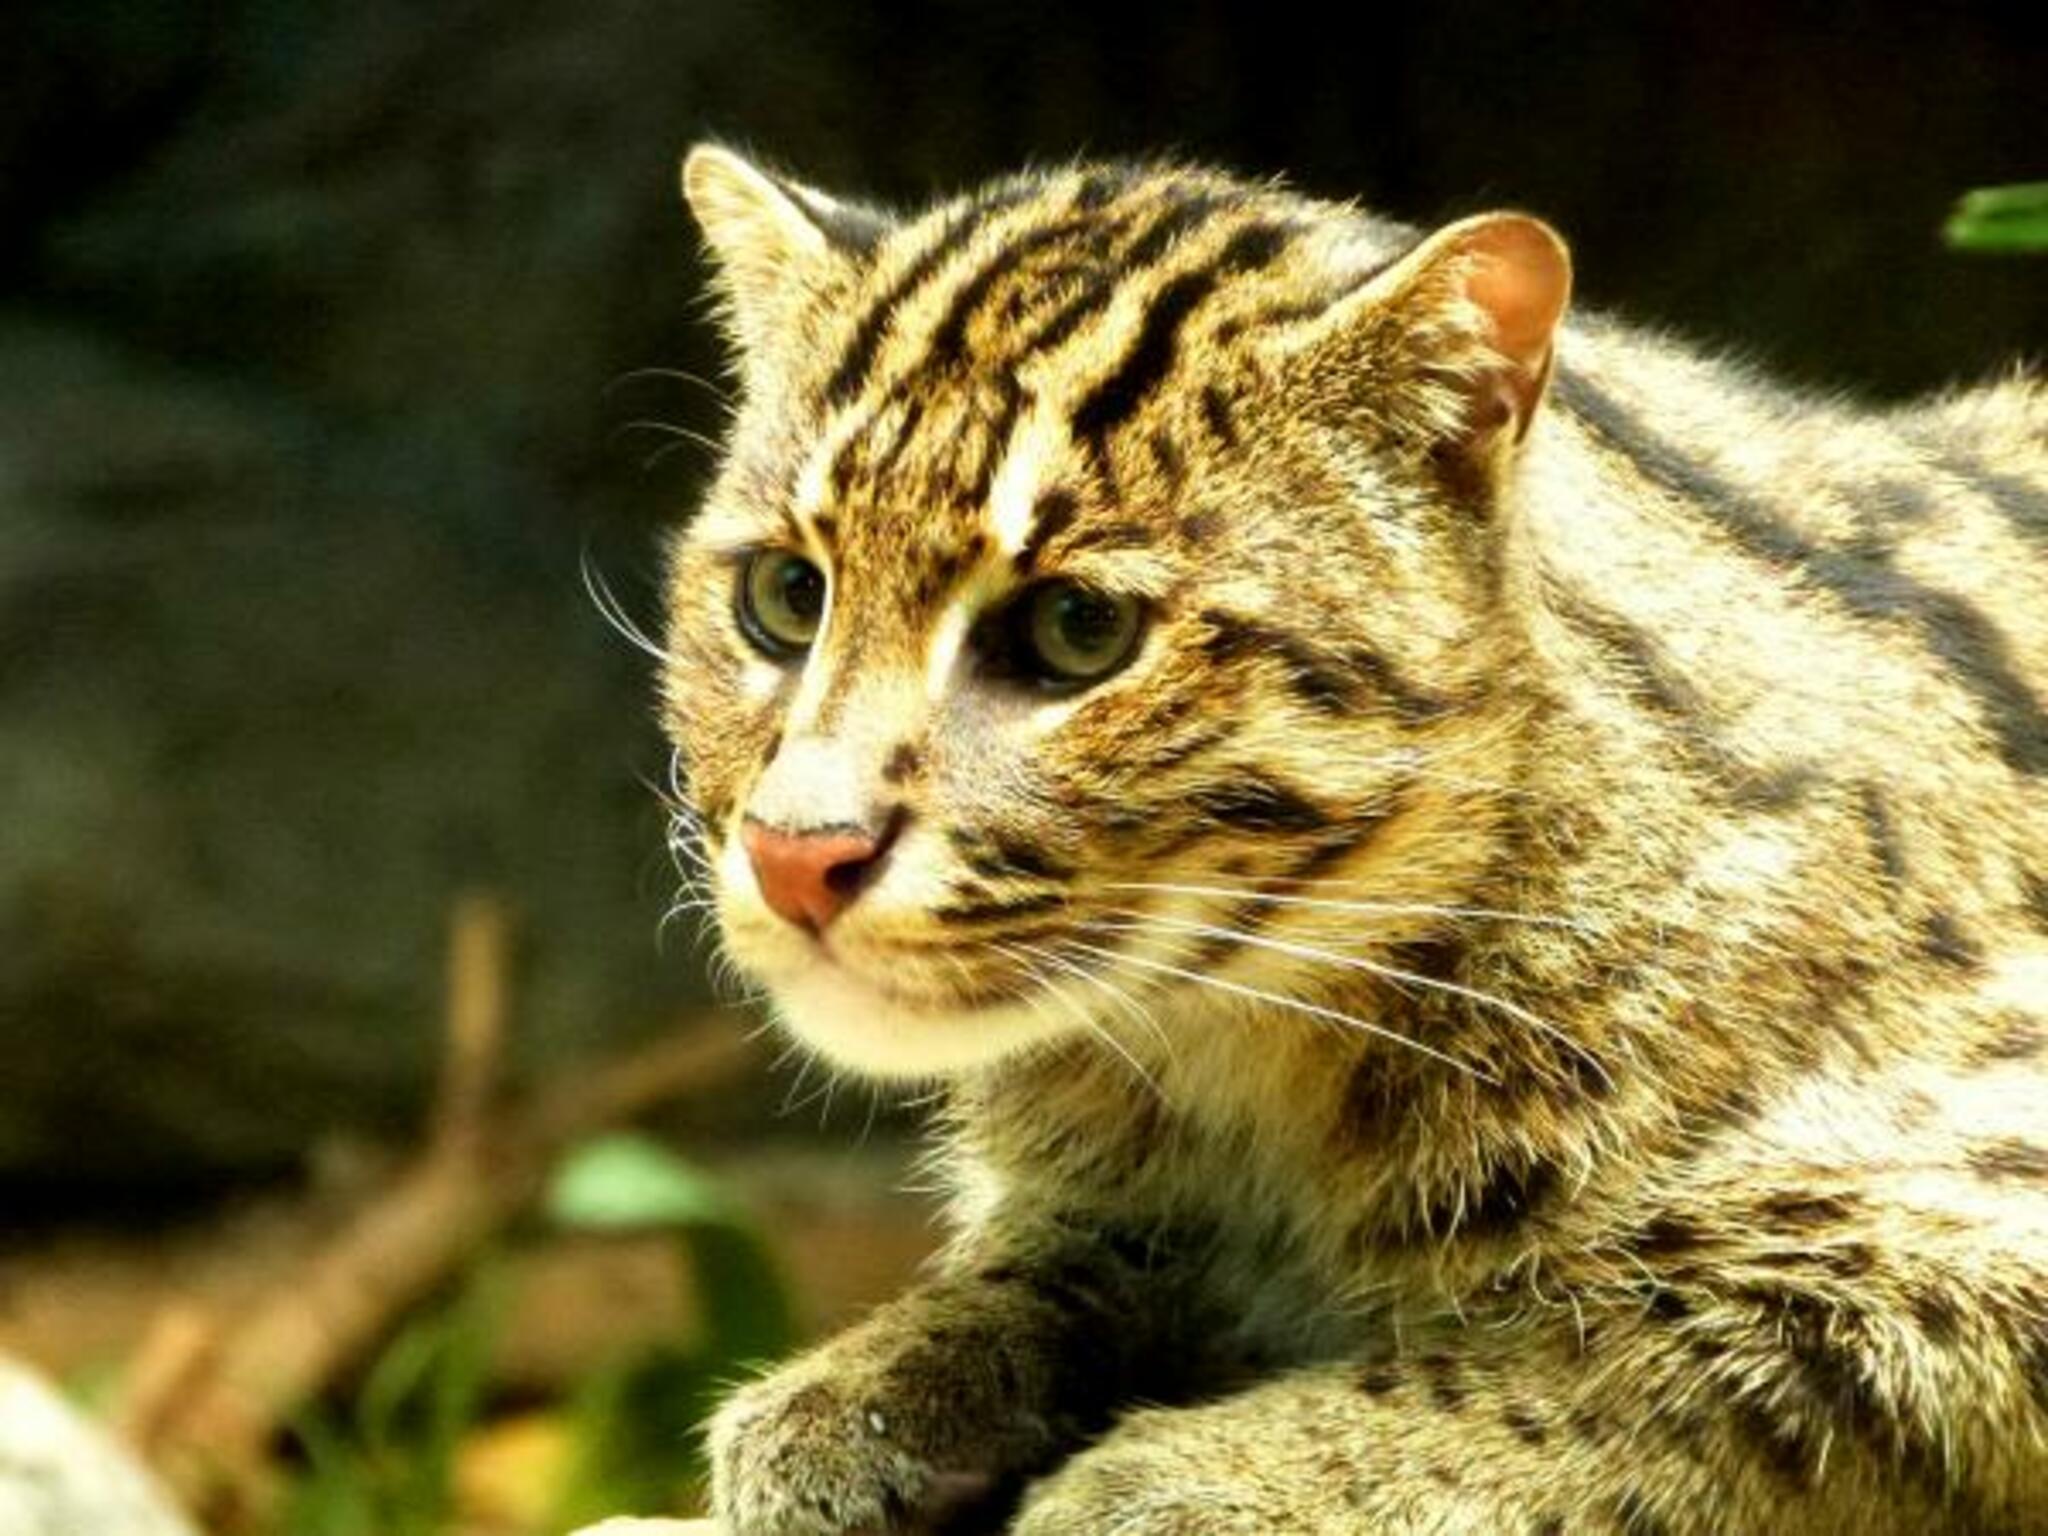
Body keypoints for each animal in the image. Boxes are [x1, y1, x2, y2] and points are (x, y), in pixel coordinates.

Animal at [655, 147, 2048, 1536]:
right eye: (784, 598)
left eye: (1076, 629)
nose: (793, 853)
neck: (1242, 1055)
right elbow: (1050, 1264)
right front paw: (875, 1385)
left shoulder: (1968, 1228)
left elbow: (1612, 1358)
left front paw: (1192, 1477)